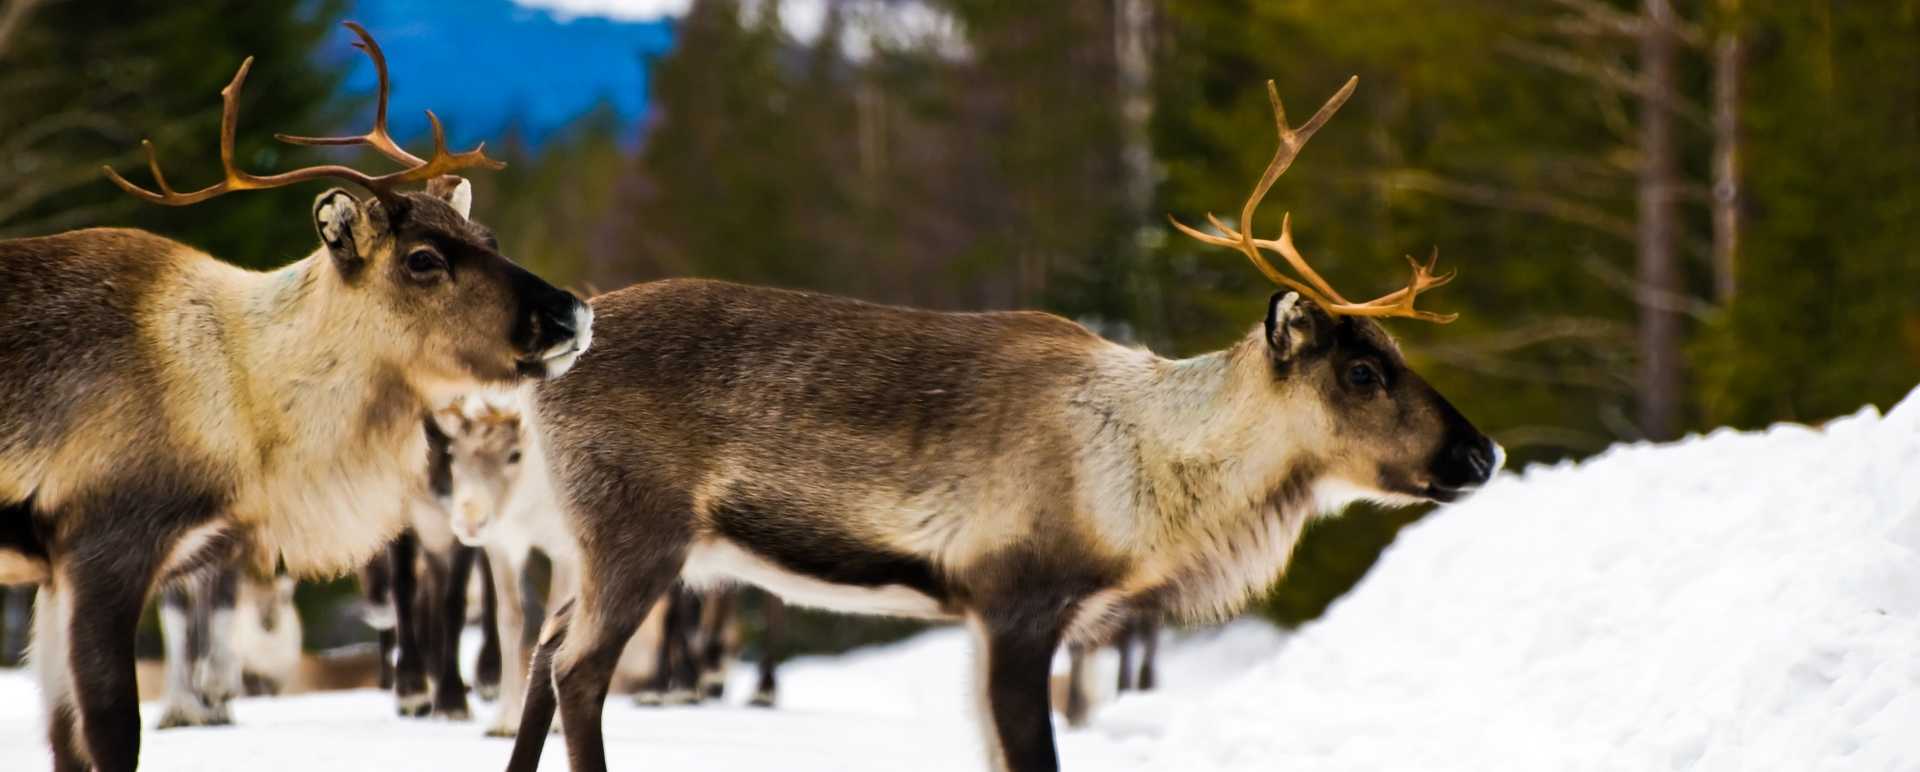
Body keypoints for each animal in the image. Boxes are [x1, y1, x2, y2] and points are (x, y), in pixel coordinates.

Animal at [0, 22, 590, 771]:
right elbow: (111, 732)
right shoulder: (103, 543)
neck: (243, 400)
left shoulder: (54, 573)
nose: (570, 312)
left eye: (488, 238)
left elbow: (66, 738)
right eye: (424, 258)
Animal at [500, 76, 1502, 772]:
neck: (1146, 484)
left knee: (546, 649)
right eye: (1362, 369)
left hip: (594, 538)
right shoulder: (1017, 597)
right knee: (579, 668)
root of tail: (550, 367)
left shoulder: (996, 617)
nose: (1481, 451)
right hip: (637, 529)